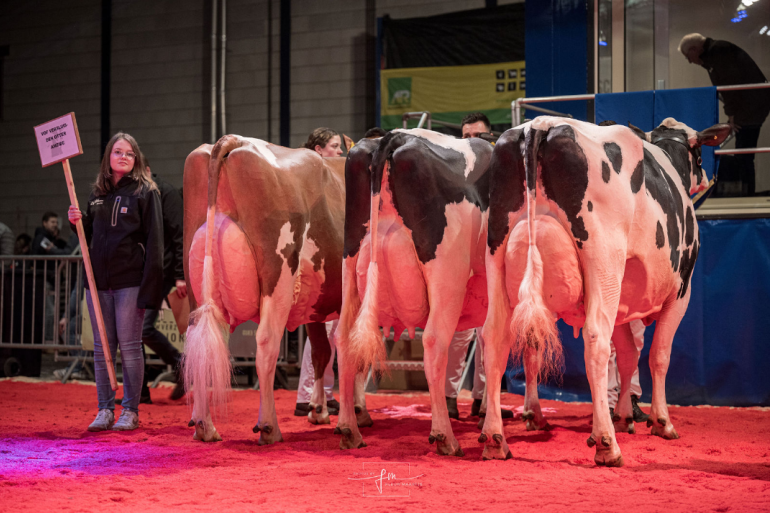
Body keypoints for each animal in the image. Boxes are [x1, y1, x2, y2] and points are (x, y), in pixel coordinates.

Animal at [182, 134, 344, 442]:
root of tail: (235, 140)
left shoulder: (317, 305)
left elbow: (321, 352)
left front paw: (319, 411)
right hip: (278, 277)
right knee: (266, 343)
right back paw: (269, 427)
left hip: (198, 283)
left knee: (200, 343)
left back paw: (204, 425)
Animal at [336, 130, 492, 454]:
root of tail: (396, 137)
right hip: (447, 273)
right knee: (434, 342)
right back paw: (445, 436)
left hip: (350, 265)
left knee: (344, 339)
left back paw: (349, 430)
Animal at [480, 116, 728, 464]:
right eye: (701, 156)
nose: (706, 178)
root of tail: (541, 124)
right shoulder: (682, 291)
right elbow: (658, 355)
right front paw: (661, 421)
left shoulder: (623, 299)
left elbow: (627, 356)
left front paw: (624, 415)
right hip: (603, 260)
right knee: (596, 338)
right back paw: (606, 443)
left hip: (497, 254)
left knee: (495, 337)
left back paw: (495, 438)